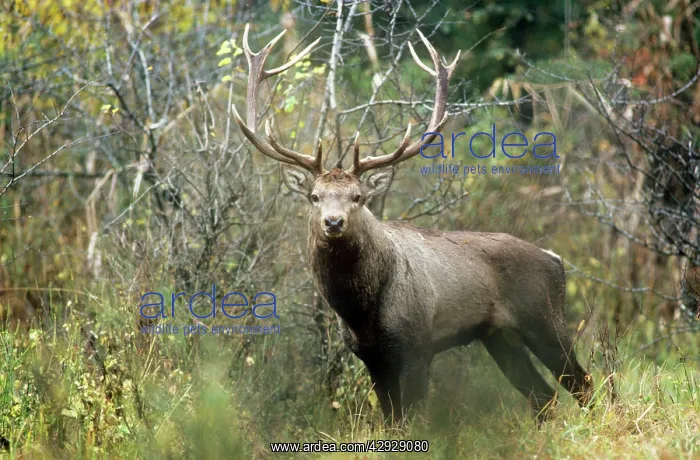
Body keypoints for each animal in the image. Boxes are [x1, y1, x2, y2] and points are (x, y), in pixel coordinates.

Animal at [231, 23, 593, 424]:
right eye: (314, 196)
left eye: (358, 197)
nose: (333, 221)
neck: (362, 312)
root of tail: (555, 260)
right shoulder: (371, 358)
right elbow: (391, 419)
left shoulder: (419, 345)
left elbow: (414, 416)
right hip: (499, 337)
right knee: (543, 395)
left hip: (544, 318)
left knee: (585, 382)